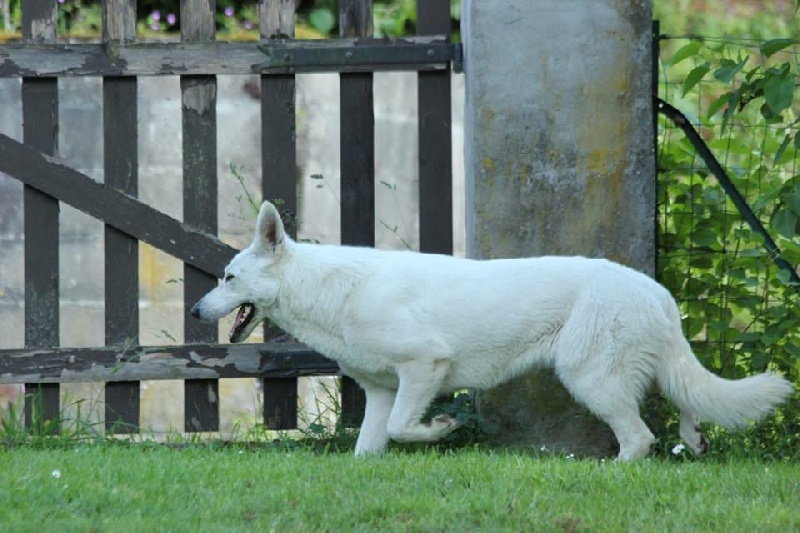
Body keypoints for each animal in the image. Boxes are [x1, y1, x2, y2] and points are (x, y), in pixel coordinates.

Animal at [192, 202, 792, 460]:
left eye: (228, 277)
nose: (197, 311)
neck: (327, 289)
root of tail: (657, 293)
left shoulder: (423, 367)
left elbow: (405, 428)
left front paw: (442, 430)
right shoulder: (385, 391)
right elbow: (370, 446)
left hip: (590, 379)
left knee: (640, 438)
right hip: (638, 369)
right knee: (688, 402)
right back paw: (694, 440)